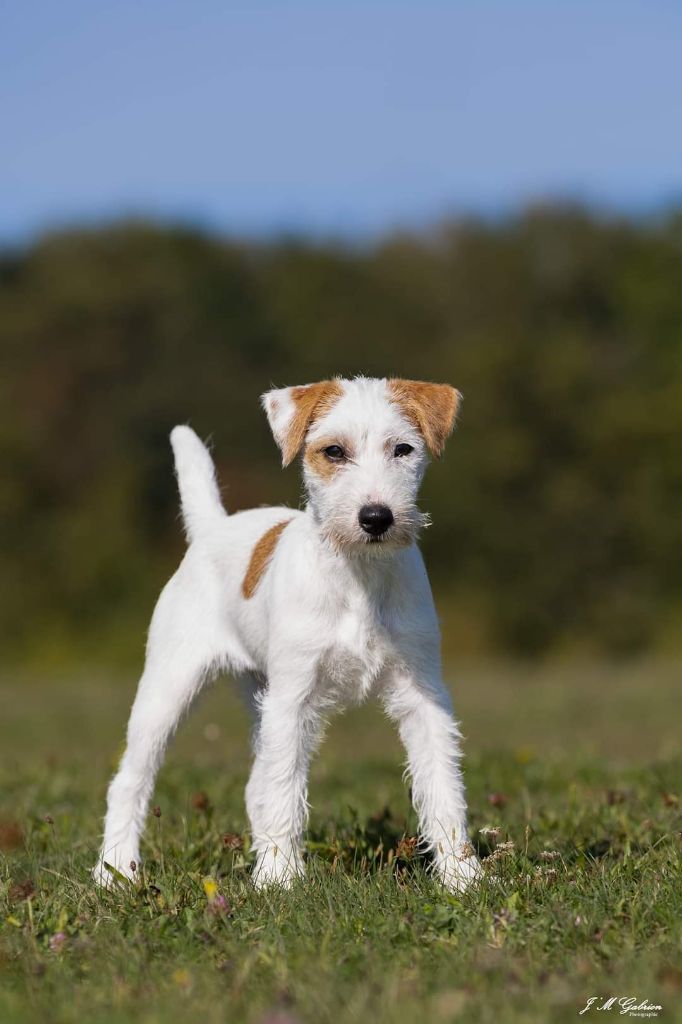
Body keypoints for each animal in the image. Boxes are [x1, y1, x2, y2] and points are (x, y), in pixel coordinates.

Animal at [94, 380, 477, 892]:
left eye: (403, 449)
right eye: (333, 451)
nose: (376, 517)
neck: (358, 575)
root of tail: (213, 528)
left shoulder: (422, 696)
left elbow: (441, 785)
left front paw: (463, 875)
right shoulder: (293, 698)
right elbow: (284, 789)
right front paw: (279, 879)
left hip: (260, 694)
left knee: (255, 782)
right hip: (168, 689)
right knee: (131, 781)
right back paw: (114, 870)